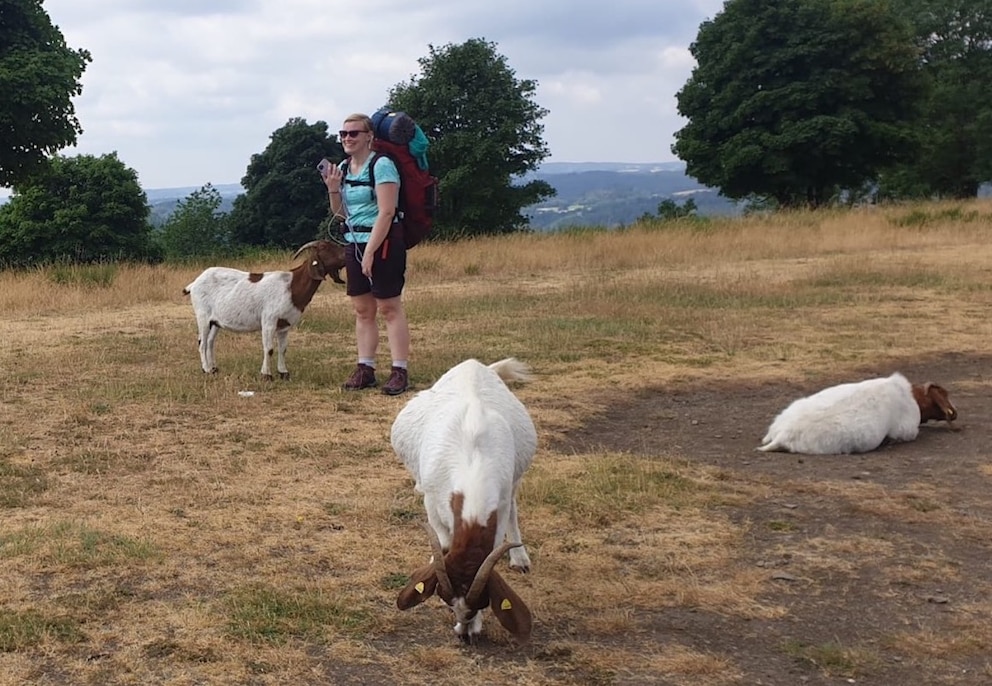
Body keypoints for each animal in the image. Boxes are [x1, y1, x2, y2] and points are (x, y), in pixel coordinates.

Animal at [182, 241, 344, 382]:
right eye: (325, 248)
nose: (345, 253)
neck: (292, 286)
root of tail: (194, 283)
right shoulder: (269, 321)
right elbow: (269, 349)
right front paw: (266, 375)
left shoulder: (285, 324)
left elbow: (283, 349)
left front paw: (284, 373)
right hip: (202, 316)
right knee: (202, 343)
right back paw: (206, 370)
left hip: (215, 321)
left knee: (210, 342)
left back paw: (214, 368)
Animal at [392, 360, 540, 644]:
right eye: (447, 602)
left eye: (482, 604)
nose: (463, 633)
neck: (473, 462)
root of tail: (475, 364)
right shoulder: (431, 500)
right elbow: (443, 542)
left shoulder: (500, 504)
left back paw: (520, 559)